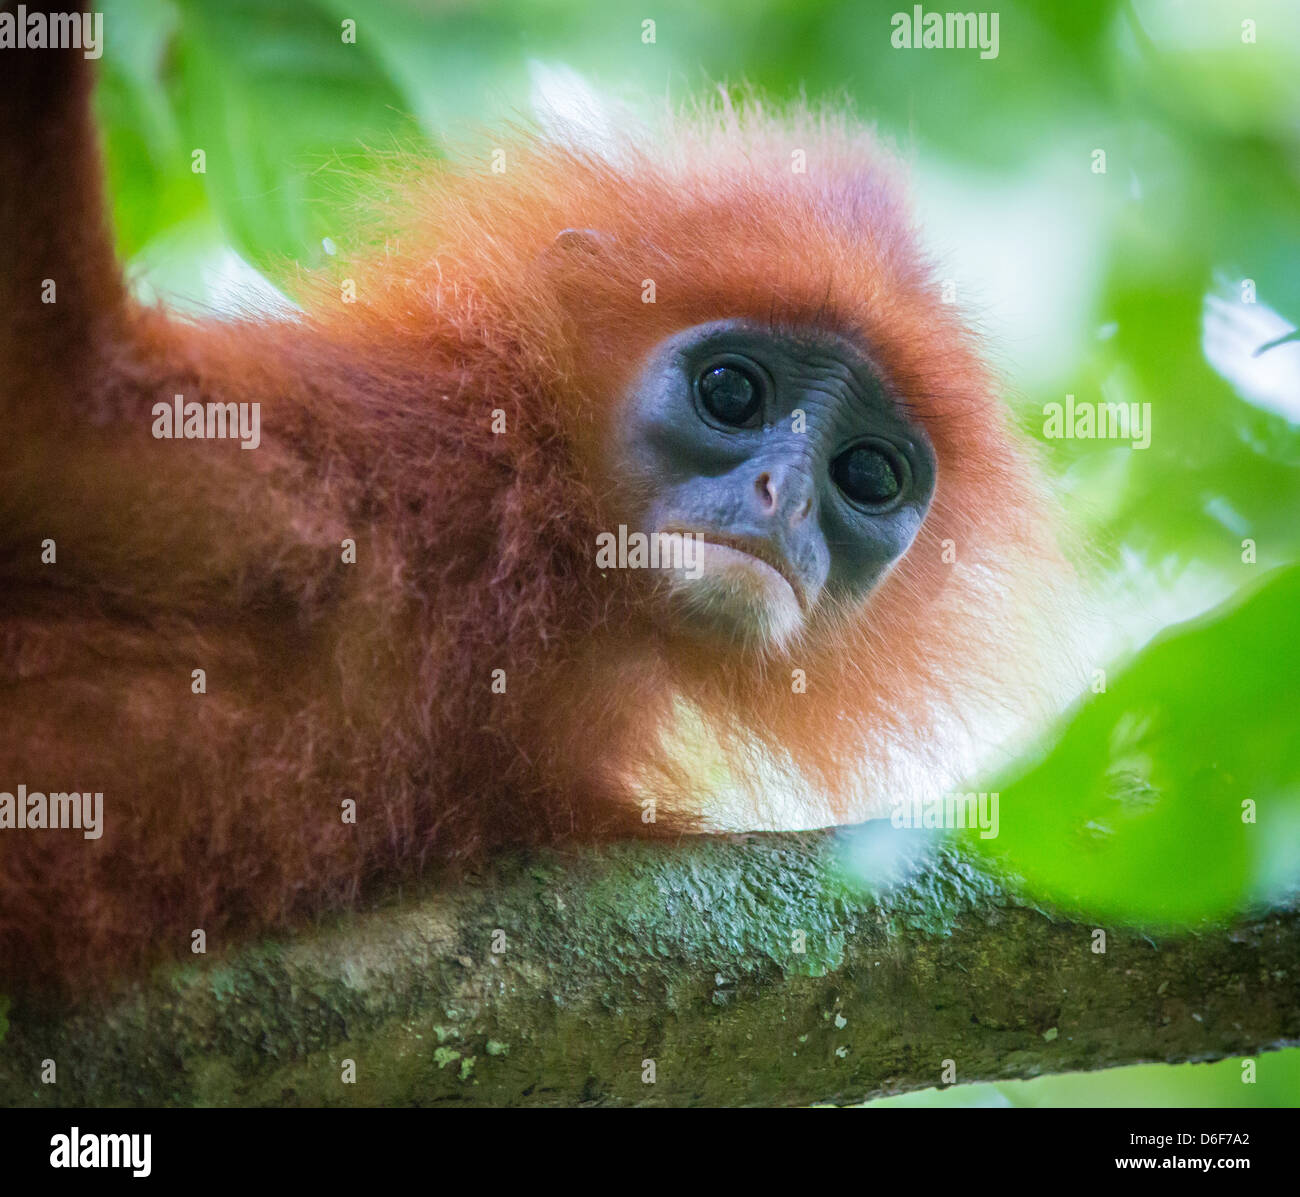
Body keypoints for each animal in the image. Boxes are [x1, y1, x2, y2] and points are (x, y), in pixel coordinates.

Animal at [0, 40, 1076, 993]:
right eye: (732, 392)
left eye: (865, 473)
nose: (789, 496)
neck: (541, 568)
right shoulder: (366, 464)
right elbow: (51, 407)